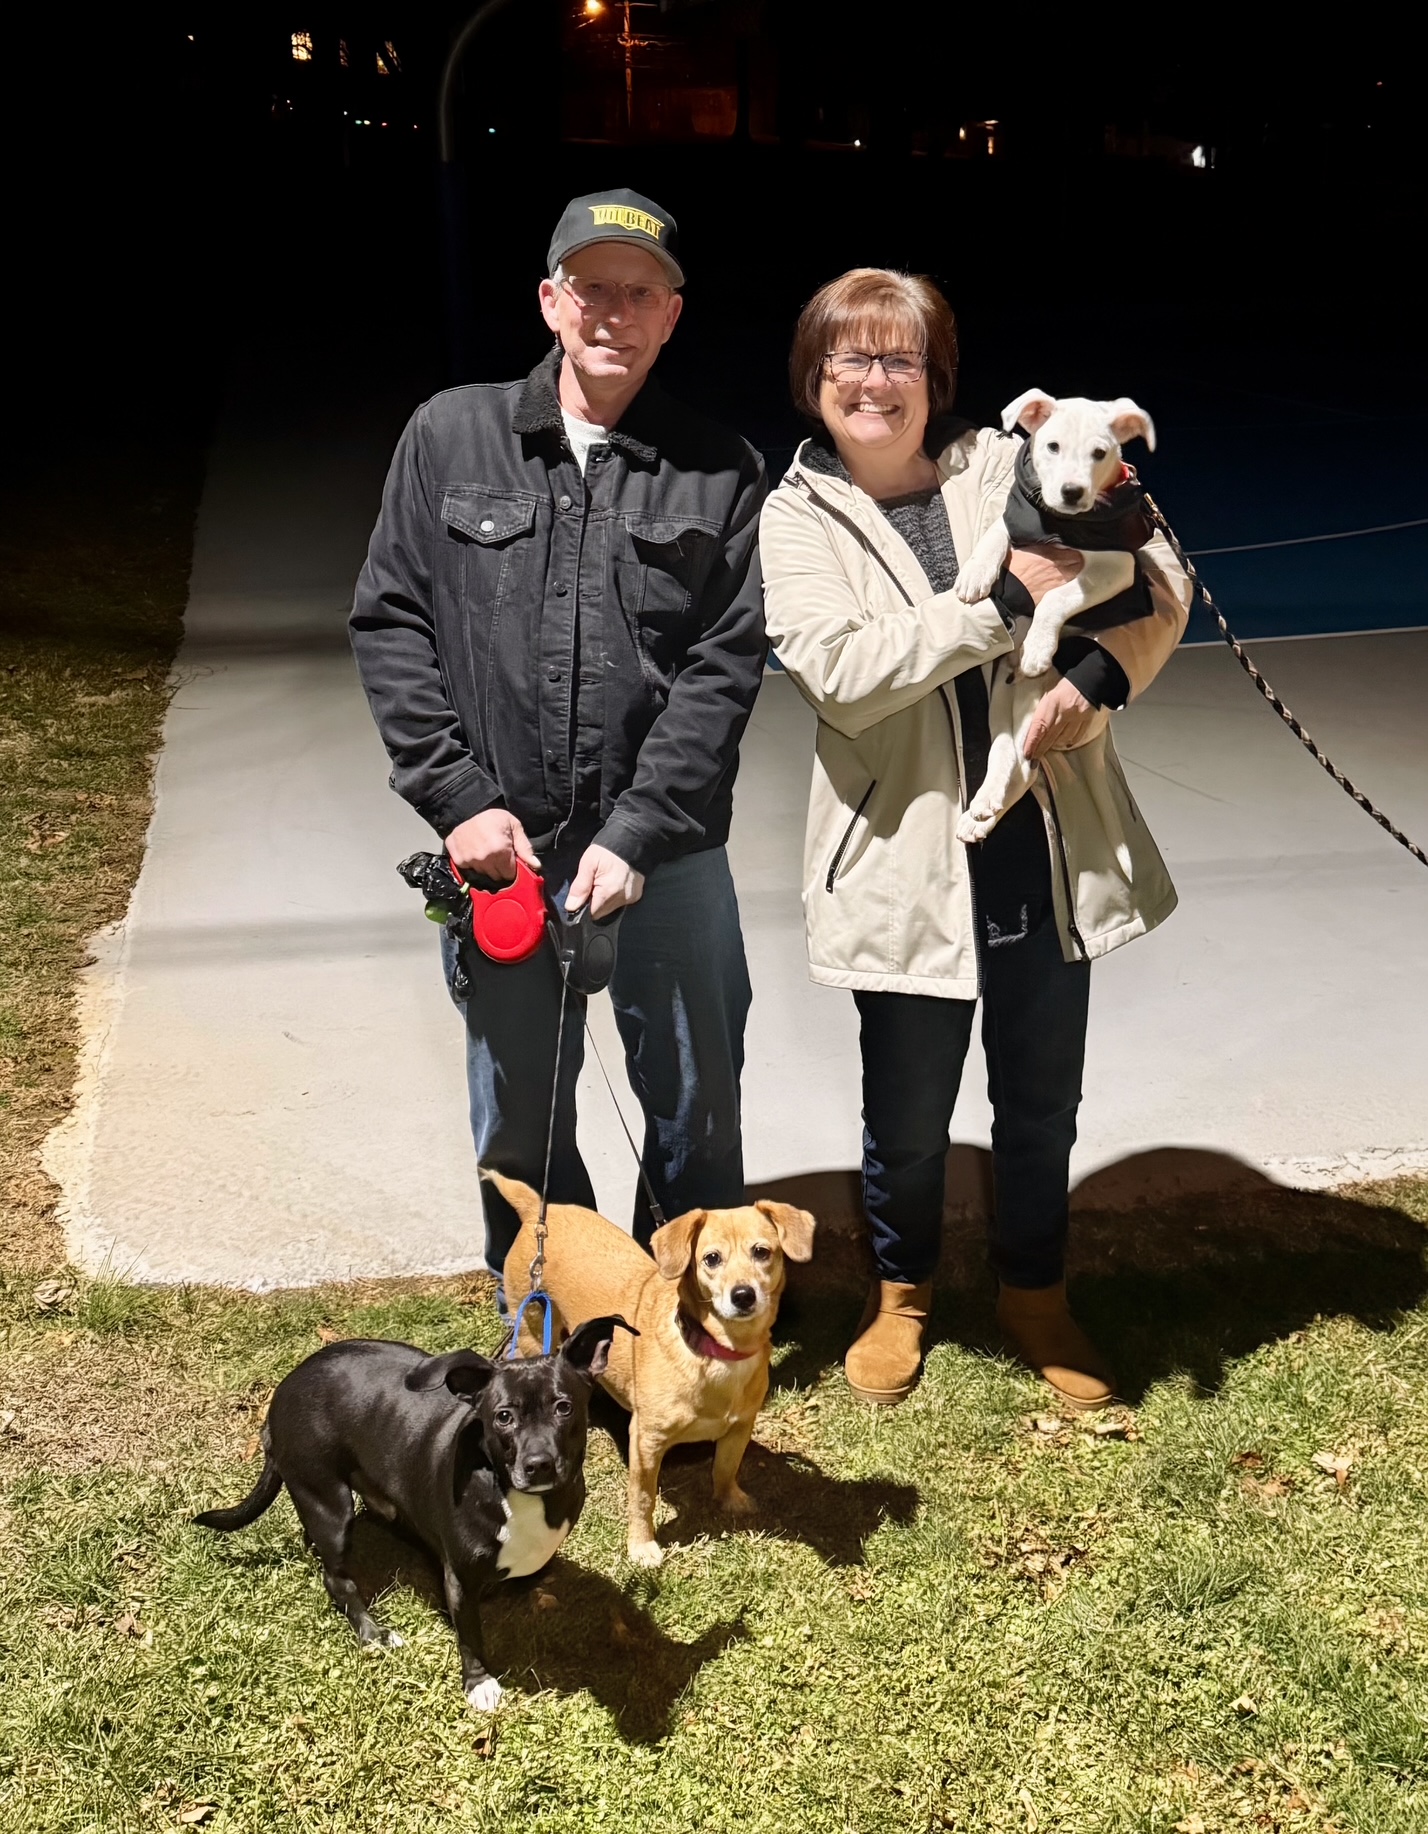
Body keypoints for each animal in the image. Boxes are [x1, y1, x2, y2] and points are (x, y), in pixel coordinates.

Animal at [194, 1315, 631, 1711]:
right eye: (503, 1416)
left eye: (564, 1407)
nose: (539, 1464)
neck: (515, 1494)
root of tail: (282, 1393)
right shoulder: (459, 1579)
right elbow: (470, 1634)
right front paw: (479, 1682)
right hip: (328, 1504)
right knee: (338, 1580)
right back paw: (373, 1634)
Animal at [494, 1171, 815, 1568]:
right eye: (711, 1259)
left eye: (762, 1252)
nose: (743, 1295)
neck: (718, 1352)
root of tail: (536, 1213)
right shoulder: (646, 1442)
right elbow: (642, 1498)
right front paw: (641, 1544)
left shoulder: (739, 1428)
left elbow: (725, 1468)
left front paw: (730, 1499)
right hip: (535, 1334)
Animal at [953, 390, 1156, 846]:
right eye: (1052, 446)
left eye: (1099, 453)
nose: (1071, 492)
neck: (1061, 524)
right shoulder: (1015, 518)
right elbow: (995, 533)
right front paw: (976, 573)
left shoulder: (1116, 567)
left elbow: (1056, 598)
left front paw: (1038, 647)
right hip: (999, 702)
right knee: (1008, 755)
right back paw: (982, 809)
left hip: (1038, 706)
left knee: (1024, 765)